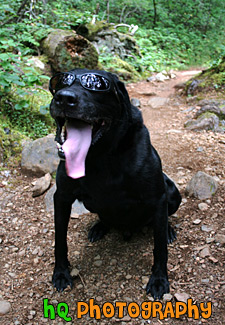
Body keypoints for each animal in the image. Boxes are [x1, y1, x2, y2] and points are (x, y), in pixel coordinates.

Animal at [48, 68, 181, 298]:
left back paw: (168, 230)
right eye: (61, 82)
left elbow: (160, 248)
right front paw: (61, 273)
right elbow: (60, 241)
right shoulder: (62, 198)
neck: (100, 156)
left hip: (172, 192)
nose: (64, 98)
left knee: (163, 221)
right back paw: (99, 227)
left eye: (97, 84)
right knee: (105, 218)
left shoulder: (158, 198)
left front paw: (159, 280)